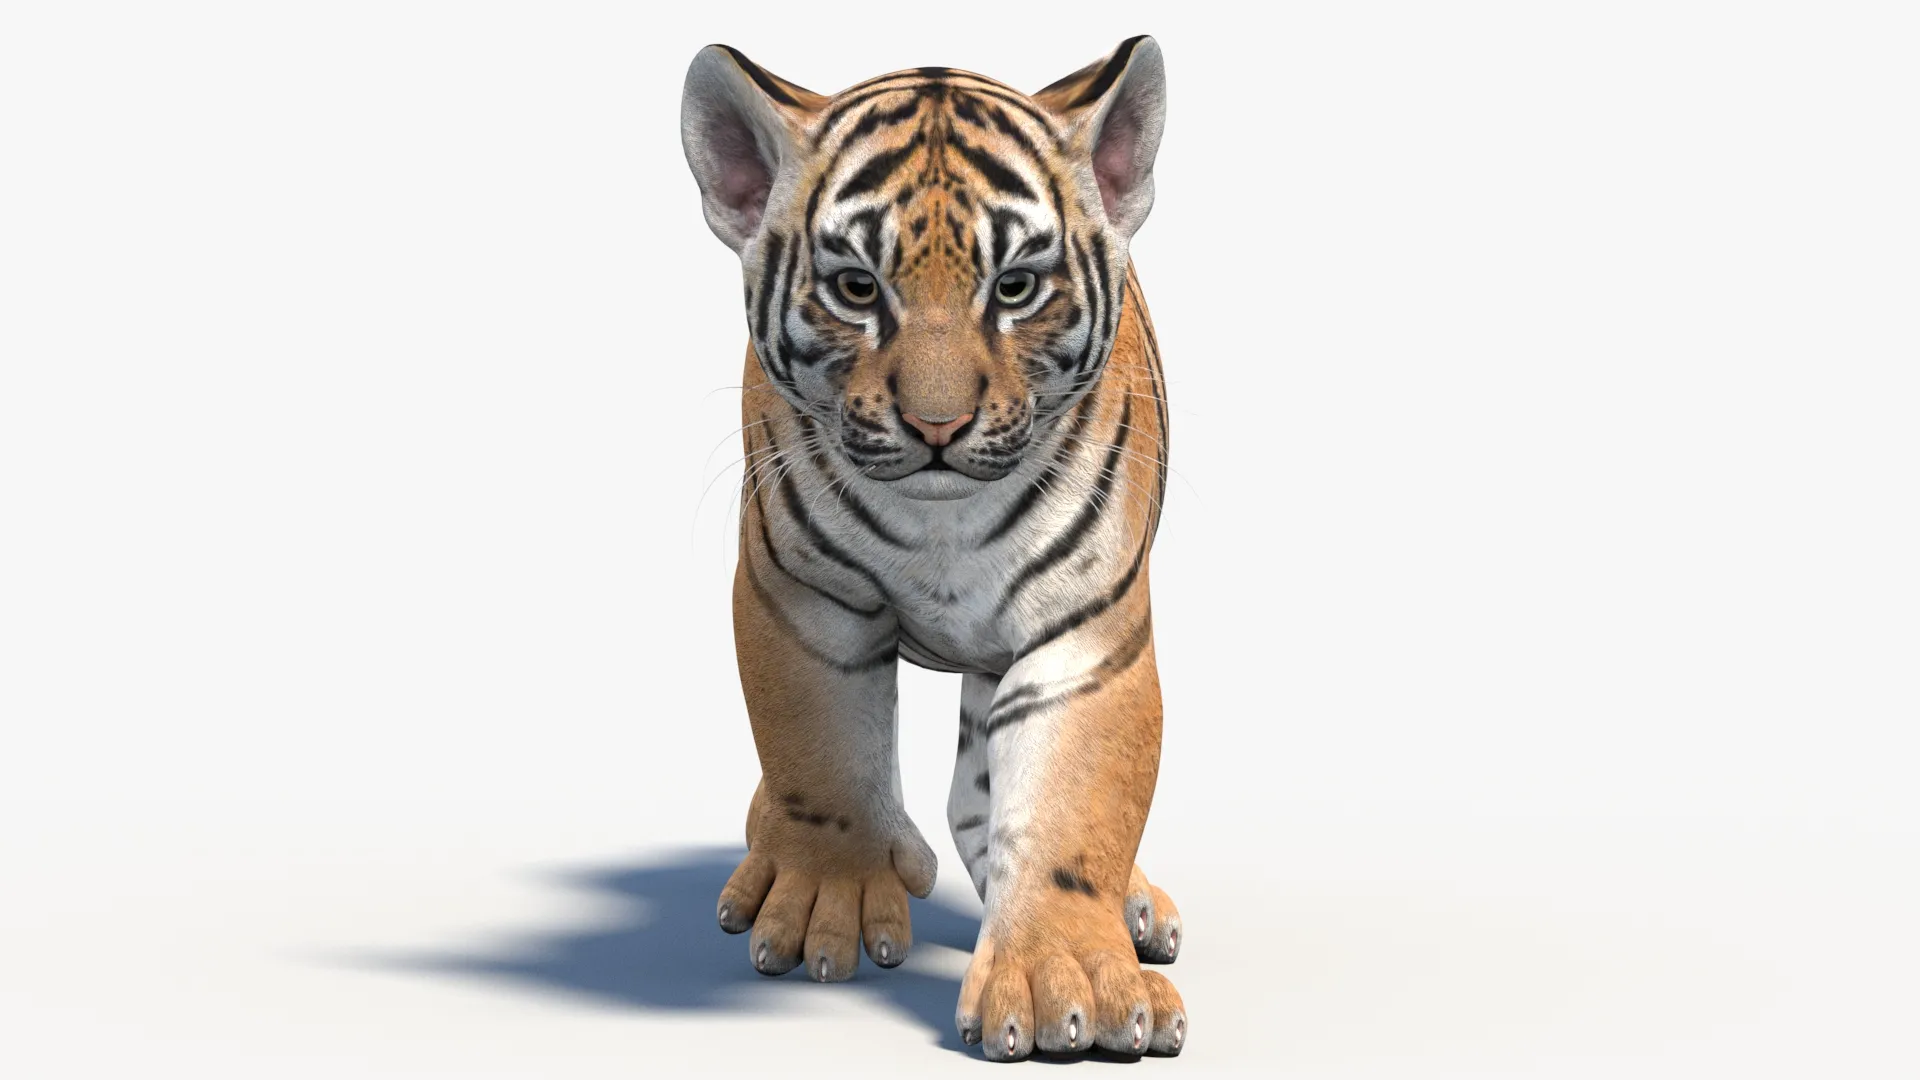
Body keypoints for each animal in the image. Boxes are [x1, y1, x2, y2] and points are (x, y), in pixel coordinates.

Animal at [678, 36, 1185, 1060]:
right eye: (857, 289)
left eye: (1016, 287)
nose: (938, 426)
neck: (942, 522)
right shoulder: (804, 601)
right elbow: (820, 754)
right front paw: (823, 903)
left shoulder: (1084, 637)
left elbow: (1073, 809)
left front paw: (1069, 985)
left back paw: (1134, 906)